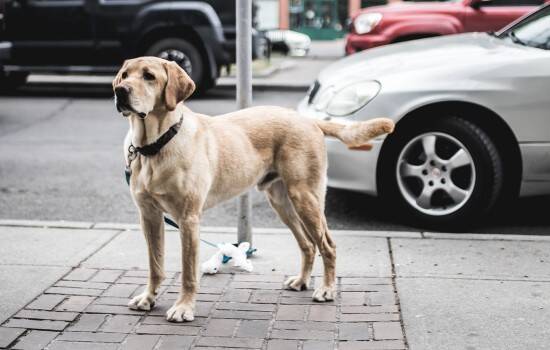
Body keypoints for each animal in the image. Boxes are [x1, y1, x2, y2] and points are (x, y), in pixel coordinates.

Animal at [113, 56, 396, 322]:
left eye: (149, 76)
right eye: (125, 75)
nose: (119, 91)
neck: (155, 146)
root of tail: (308, 120)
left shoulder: (189, 218)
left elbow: (188, 272)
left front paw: (184, 308)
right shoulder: (149, 216)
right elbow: (155, 265)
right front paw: (148, 298)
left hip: (306, 197)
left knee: (327, 245)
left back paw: (327, 289)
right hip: (282, 202)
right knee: (307, 245)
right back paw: (302, 281)